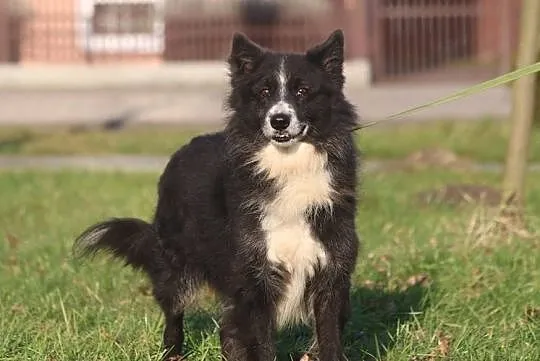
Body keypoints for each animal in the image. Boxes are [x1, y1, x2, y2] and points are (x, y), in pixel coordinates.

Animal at [76, 28, 360, 360]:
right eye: (264, 92)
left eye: (303, 91)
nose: (279, 120)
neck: (288, 166)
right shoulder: (254, 281)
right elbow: (261, 344)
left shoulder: (332, 274)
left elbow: (329, 337)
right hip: (176, 266)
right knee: (174, 315)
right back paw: (171, 351)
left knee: (228, 330)